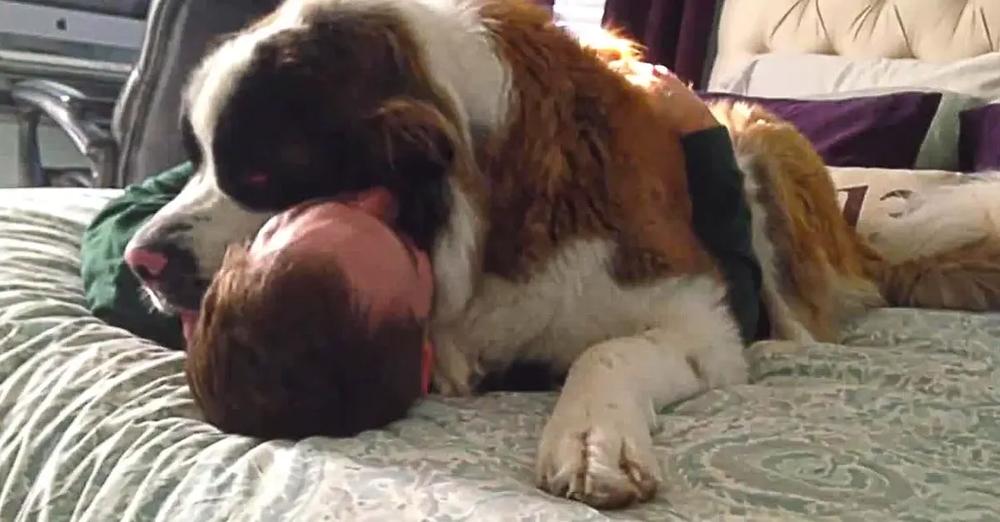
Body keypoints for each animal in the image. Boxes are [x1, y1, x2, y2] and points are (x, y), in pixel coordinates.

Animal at [123, 0, 1000, 508]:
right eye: (193, 159)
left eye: (260, 175)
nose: (141, 260)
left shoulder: (695, 314)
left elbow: (608, 350)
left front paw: (591, 439)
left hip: (755, 135)